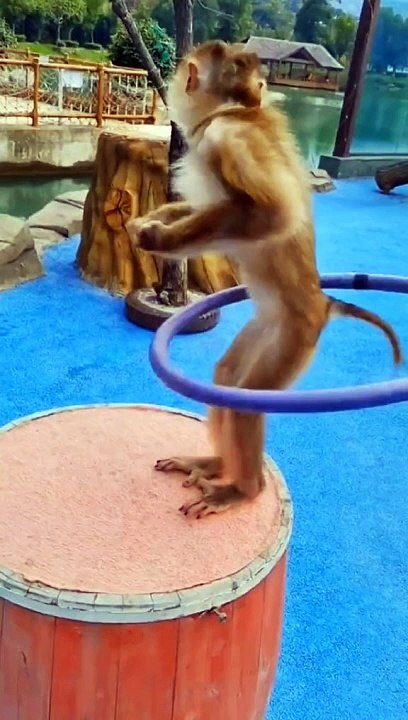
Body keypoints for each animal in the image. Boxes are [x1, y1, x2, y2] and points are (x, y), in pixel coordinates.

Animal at [126, 40, 403, 519]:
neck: (236, 109)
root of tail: (323, 302)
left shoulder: (224, 137)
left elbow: (273, 212)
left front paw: (155, 238)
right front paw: (148, 222)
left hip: (294, 337)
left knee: (246, 400)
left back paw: (243, 488)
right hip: (268, 327)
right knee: (227, 381)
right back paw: (218, 463)